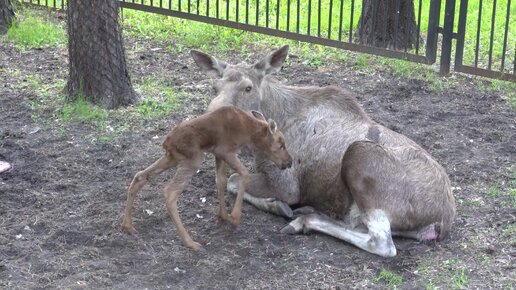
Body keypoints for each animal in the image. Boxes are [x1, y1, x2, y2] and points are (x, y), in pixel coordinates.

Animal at [120, 105, 290, 250]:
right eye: (281, 144)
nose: (289, 161)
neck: (248, 133)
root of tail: (166, 143)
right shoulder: (225, 150)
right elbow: (244, 173)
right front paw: (235, 217)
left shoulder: (217, 154)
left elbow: (220, 180)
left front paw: (223, 215)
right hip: (193, 159)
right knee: (169, 192)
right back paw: (190, 242)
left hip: (172, 158)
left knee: (140, 176)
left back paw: (128, 226)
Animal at [190, 44, 456, 256]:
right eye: (215, 87)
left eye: (248, 88)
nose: (209, 122)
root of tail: (442, 220)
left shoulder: (286, 184)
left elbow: (233, 181)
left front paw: (276, 204)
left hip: (361, 155)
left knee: (382, 242)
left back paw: (303, 220)